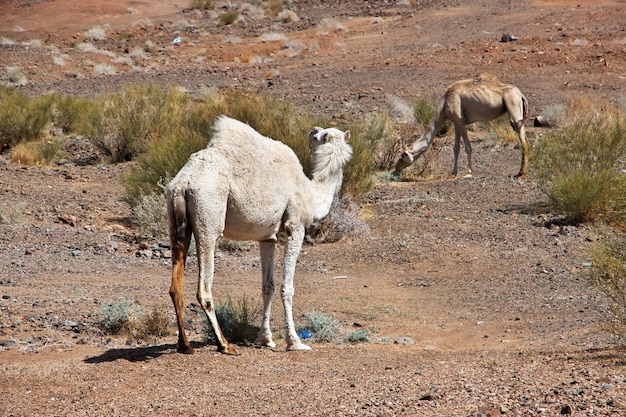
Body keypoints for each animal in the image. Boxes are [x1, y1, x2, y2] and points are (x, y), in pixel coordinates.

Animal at [166, 114, 352, 354]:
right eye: (321, 135)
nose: (313, 129)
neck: (311, 192)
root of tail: (183, 181)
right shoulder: (295, 226)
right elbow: (286, 287)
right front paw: (295, 342)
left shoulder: (267, 238)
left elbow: (268, 287)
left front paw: (265, 339)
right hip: (208, 220)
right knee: (204, 288)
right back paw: (225, 344)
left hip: (176, 222)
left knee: (175, 285)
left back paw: (185, 345)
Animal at [394, 73, 528, 177]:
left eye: (401, 157)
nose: (396, 169)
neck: (444, 104)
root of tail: (521, 95)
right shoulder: (456, 122)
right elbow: (456, 148)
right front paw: (454, 171)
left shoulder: (460, 120)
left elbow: (468, 146)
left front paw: (469, 171)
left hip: (513, 106)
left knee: (523, 140)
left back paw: (521, 173)